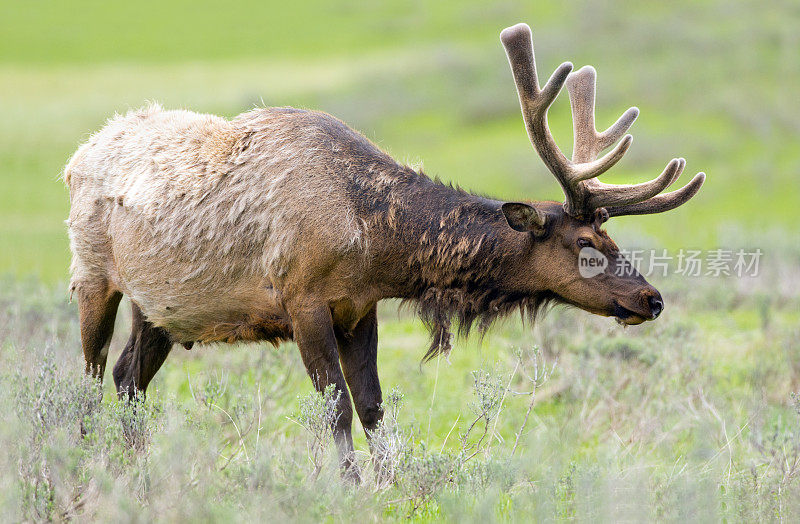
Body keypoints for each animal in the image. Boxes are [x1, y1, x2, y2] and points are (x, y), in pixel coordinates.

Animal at [65, 24, 704, 478]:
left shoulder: (359, 308)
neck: (370, 242)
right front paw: (345, 486)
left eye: (610, 236)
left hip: (161, 308)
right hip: (92, 275)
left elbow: (372, 405)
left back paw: (135, 466)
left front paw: (388, 481)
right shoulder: (302, 300)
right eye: (586, 243)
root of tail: (80, 152)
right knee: (91, 376)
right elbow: (336, 409)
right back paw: (87, 458)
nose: (651, 299)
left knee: (128, 378)